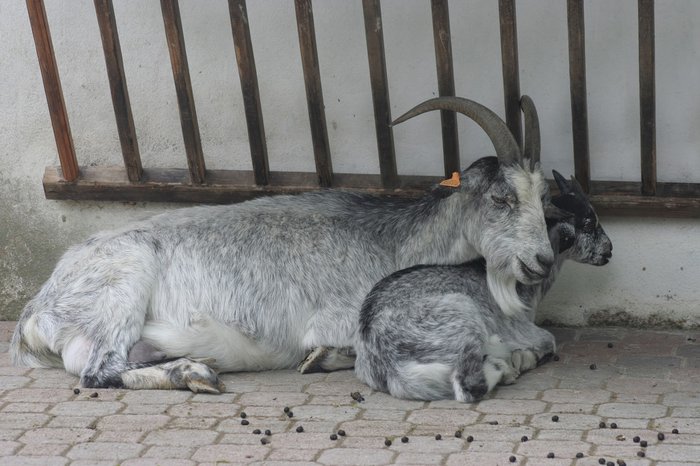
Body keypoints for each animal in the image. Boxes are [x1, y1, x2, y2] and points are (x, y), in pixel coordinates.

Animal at [11, 96, 553, 392]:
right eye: (502, 198)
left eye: (543, 196)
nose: (542, 261)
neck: (393, 242)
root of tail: (35, 312)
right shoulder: (336, 317)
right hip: (121, 287)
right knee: (97, 371)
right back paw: (195, 373)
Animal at [354, 170, 613, 401]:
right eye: (588, 224)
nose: (609, 250)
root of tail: (385, 360)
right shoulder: (520, 328)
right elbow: (548, 340)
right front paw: (523, 358)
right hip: (461, 317)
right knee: (469, 385)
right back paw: (501, 367)